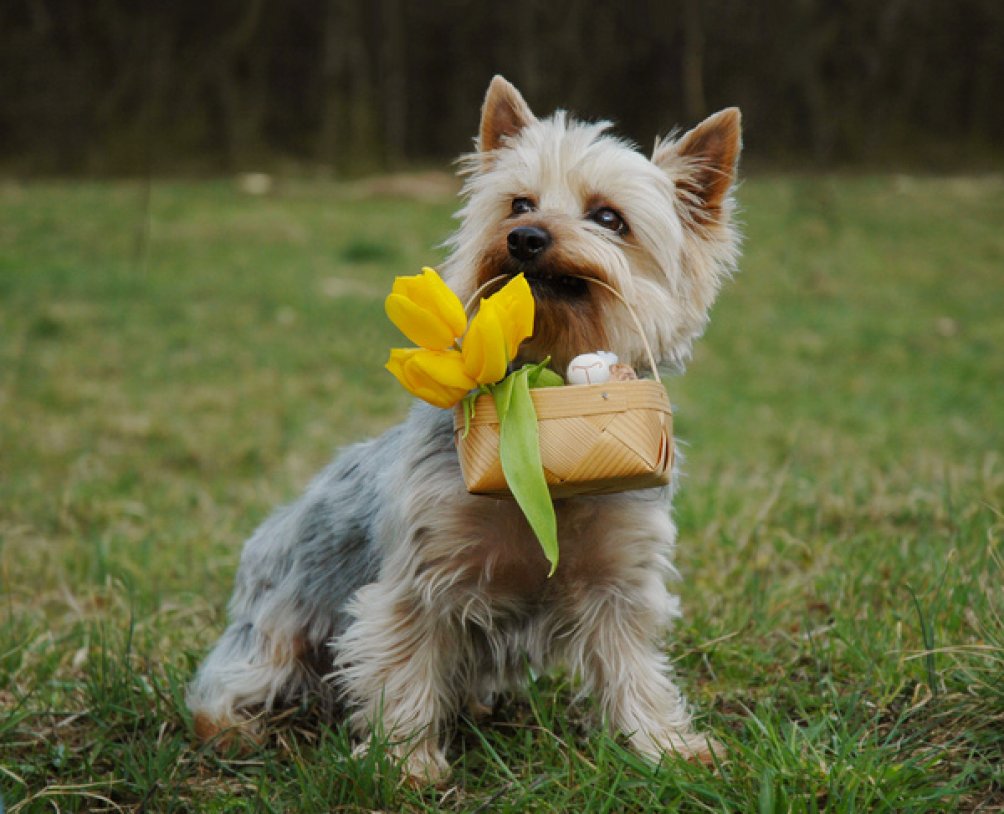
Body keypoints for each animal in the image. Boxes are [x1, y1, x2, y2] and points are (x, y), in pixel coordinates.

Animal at [188, 74, 742, 782]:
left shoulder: (620, 578)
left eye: (608, 218)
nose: (526, 236)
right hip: (277, 624)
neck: (541, 394)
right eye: (518, 203)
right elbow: (406, 665)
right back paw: (234, 730)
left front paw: (666, 746)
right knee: (230, 681)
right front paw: (406, 764)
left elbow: (633, 668)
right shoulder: (421, 577)